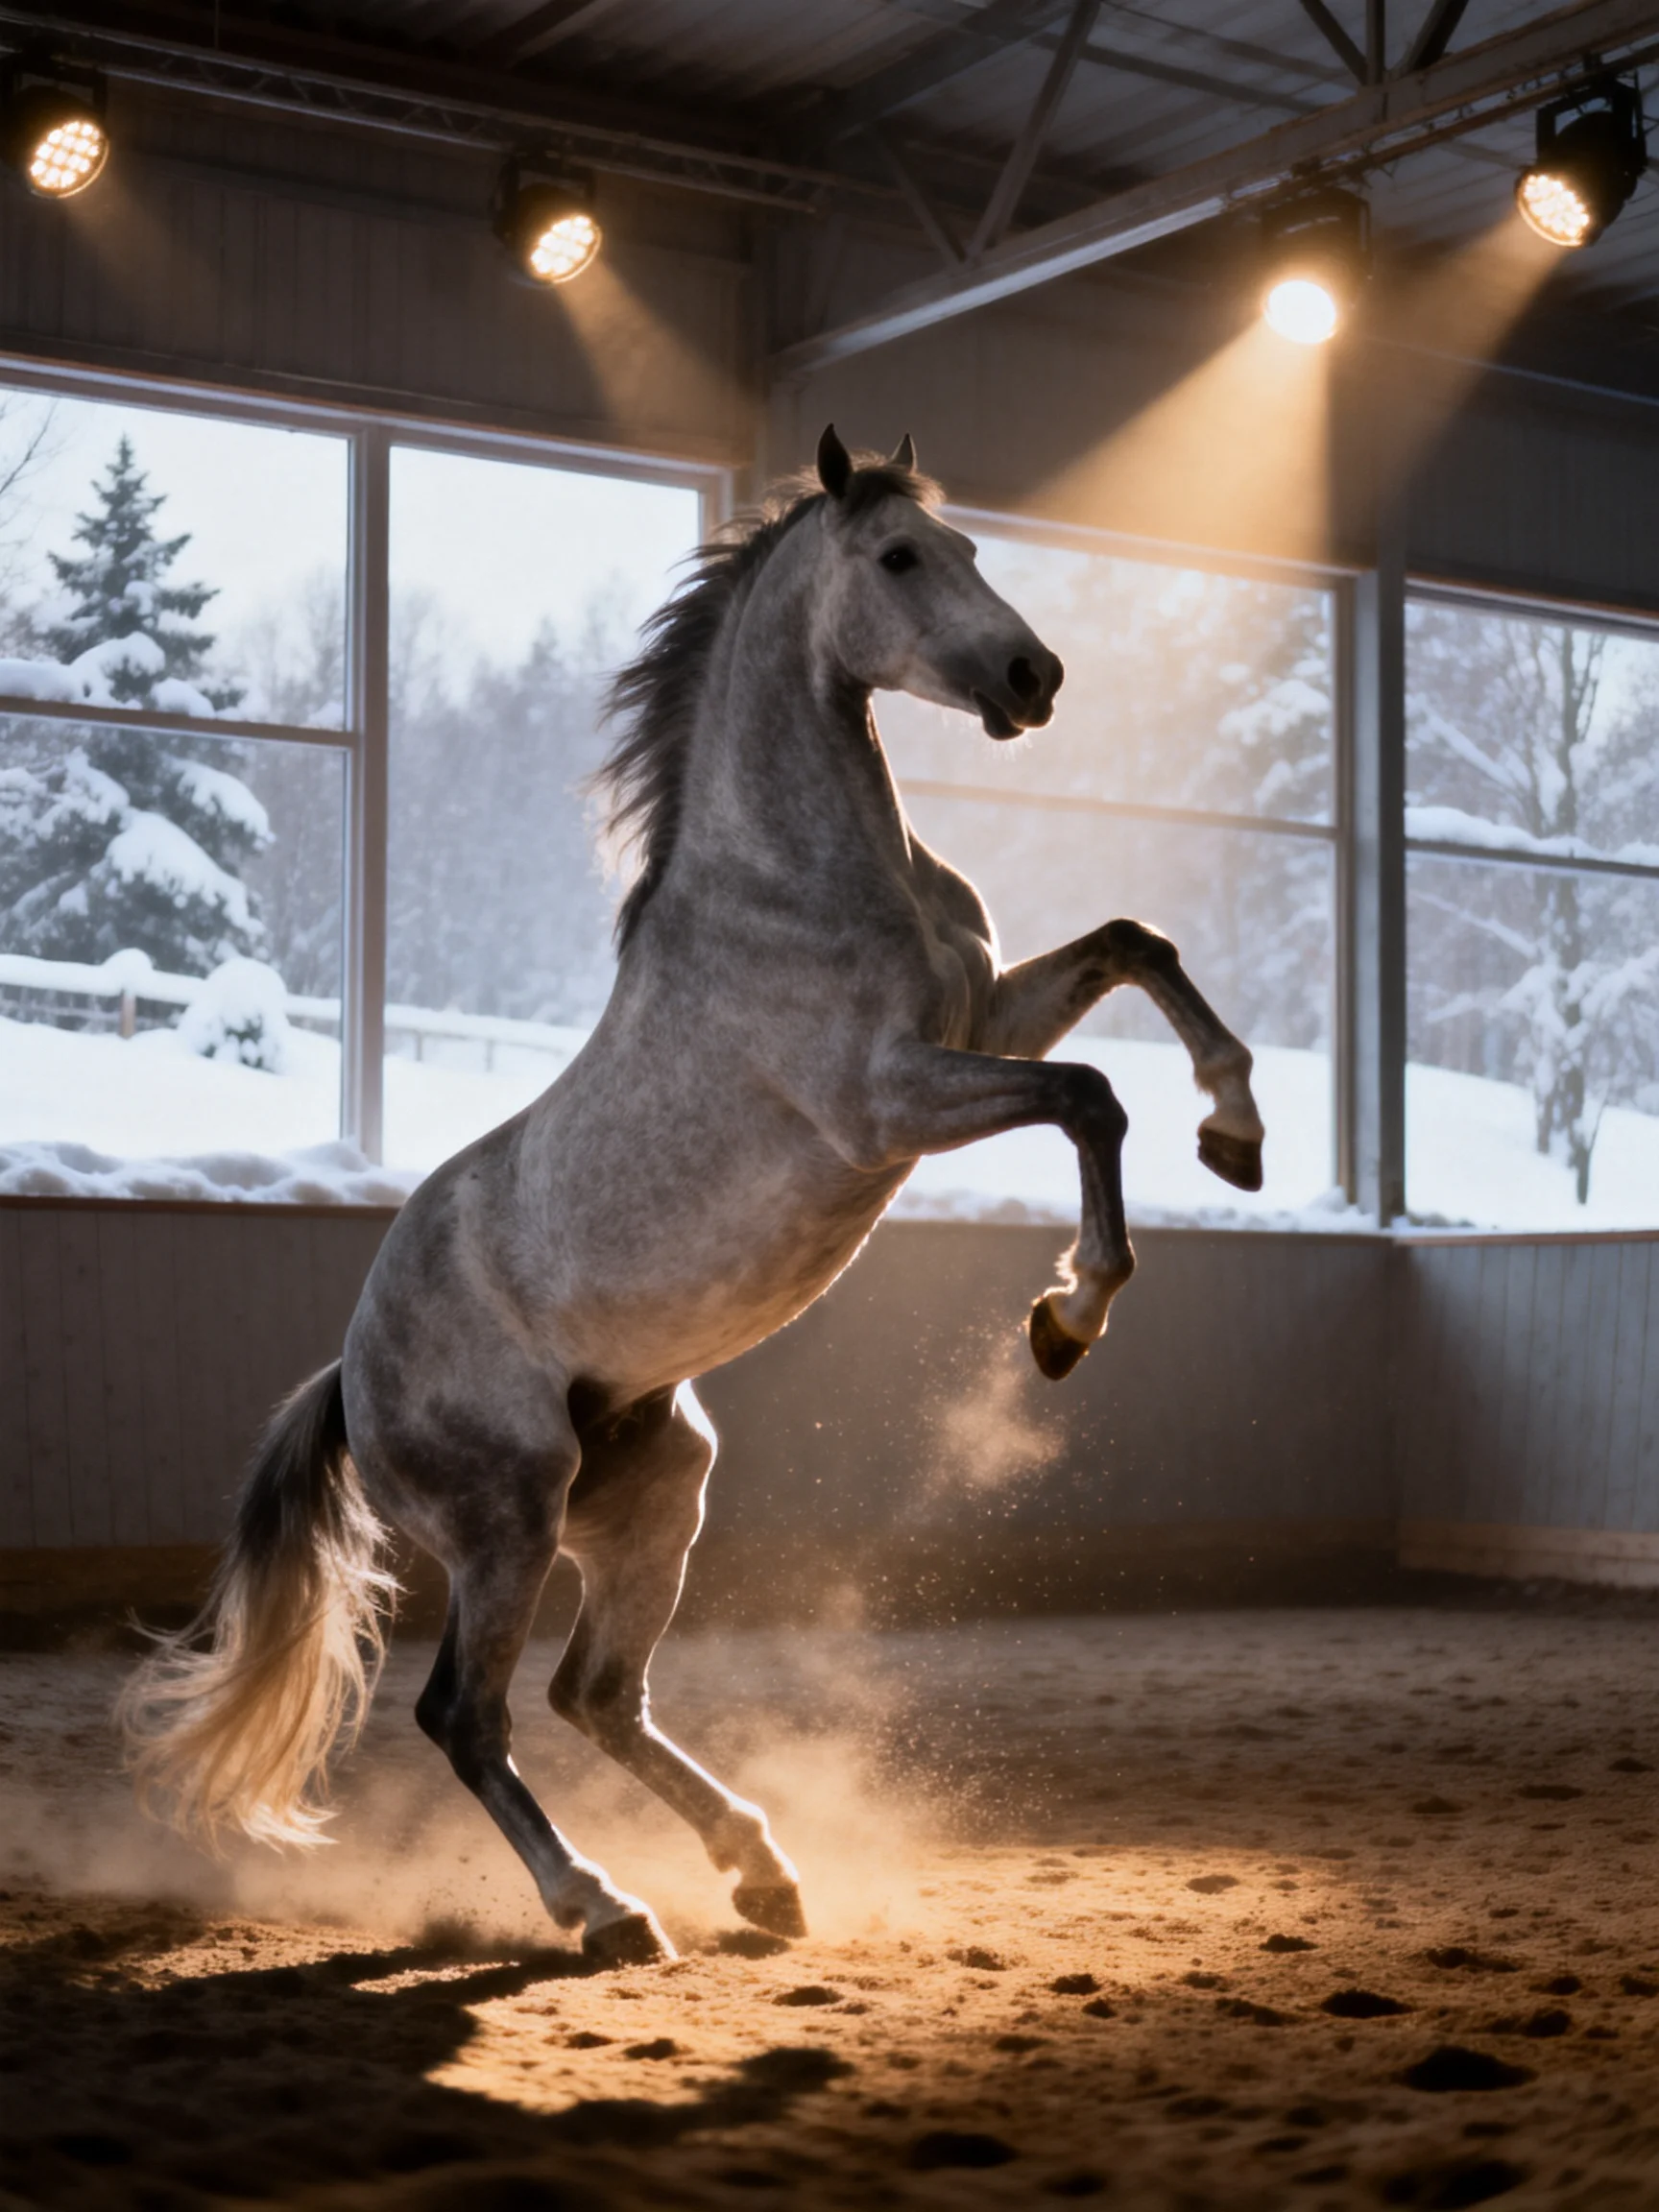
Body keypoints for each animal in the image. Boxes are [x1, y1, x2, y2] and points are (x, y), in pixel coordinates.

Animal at [120, 426, 1265, 1967]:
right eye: (899, 558)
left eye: (971, 550)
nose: (1035, 679)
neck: (795, 880)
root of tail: (352, 1381)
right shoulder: (889, 1101)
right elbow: (1091, 1096)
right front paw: (1067, 1317)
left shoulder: (984, 1021)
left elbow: (1138, 947)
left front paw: (1237, 1132)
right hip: (508, 1516)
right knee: (467, 1714)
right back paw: (604, 1910)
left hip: (657, 1490)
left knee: (593, 1694)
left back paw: (761, 1876)